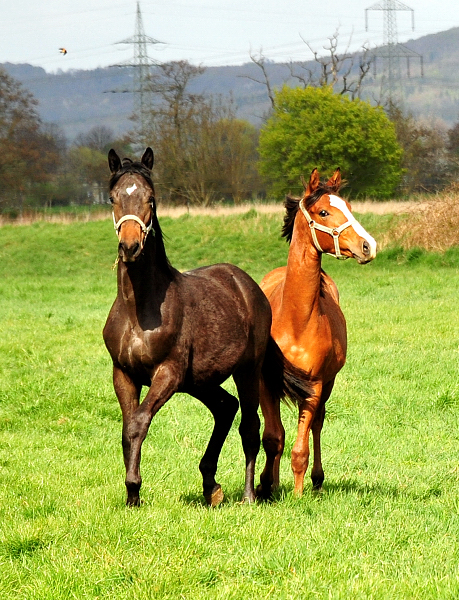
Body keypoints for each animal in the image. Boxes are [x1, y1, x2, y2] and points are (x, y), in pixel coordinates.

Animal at [103, 146, 314, 506]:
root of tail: (249, 287)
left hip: (246, 370)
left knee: (249, 426)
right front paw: (132, 495)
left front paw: (134, 490)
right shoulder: (124, 374)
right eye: (114, 197)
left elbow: (139, 422)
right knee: (225, 407)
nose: (130, 246)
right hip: (199, 380)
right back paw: (210, 485)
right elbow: (127, 428)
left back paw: (248, 495)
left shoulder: (167, 373)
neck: (139, 309)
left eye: (151, 199)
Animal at [258, 168, 378, 496]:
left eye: (349, 206)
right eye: (323, 211)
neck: (295, 321)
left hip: (328, 384)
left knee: (317, 425)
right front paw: (266, 487)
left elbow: (300, 448)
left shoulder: (313, 387)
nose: (369, 246)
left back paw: (316, 480)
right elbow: (273, 437)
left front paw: (298, 495)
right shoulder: (266, 383)